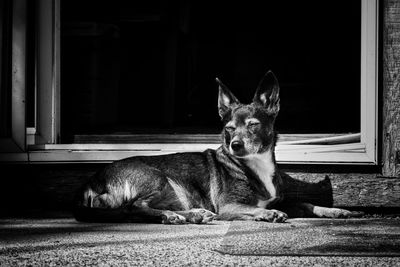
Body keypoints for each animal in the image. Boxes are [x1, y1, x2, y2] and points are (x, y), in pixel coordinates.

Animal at [72, 70, 362, 224]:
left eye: (253, 125)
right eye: (229, 129)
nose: (235, 145)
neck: (255, 165)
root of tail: (92, 180)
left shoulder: (286, 199)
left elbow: (307, 203)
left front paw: (336, 210)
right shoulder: (228, 206)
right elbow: (255, 208)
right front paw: (268, 214)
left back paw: (194, 214)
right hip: (155, 177)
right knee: (132, 208)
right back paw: (172, 215)